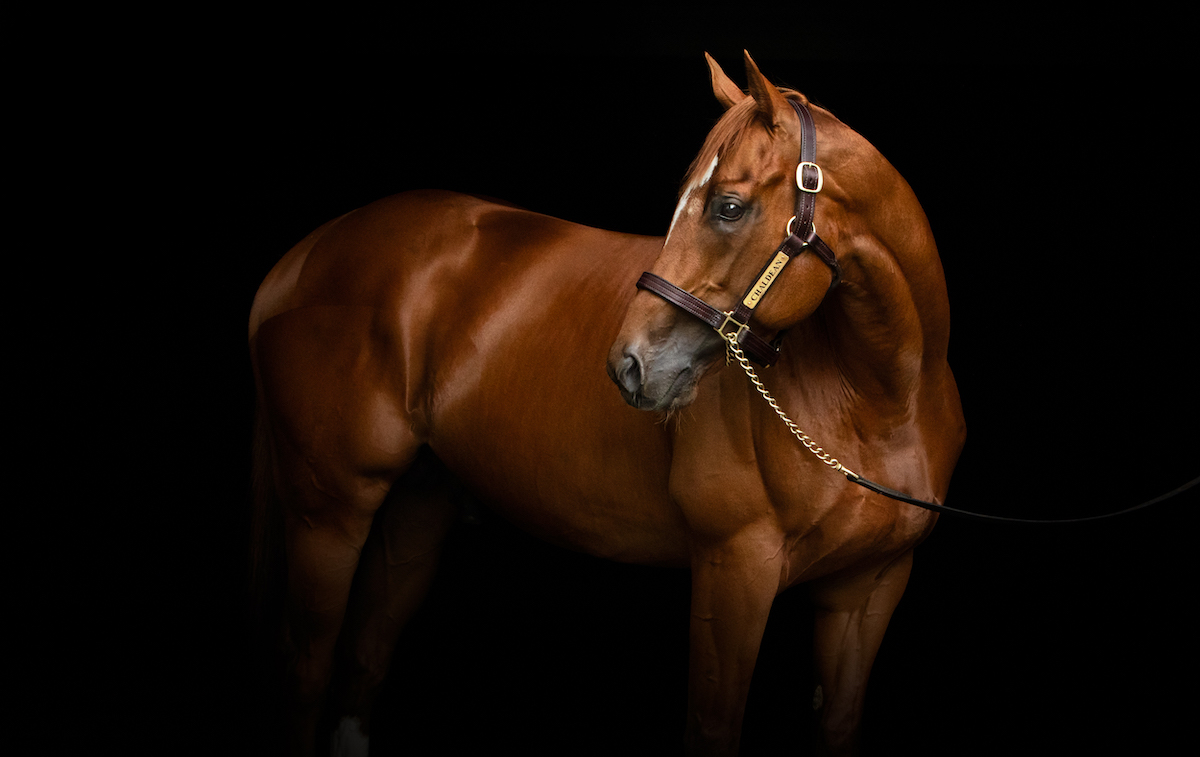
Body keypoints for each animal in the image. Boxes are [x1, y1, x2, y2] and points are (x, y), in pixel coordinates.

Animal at [248, 50, 960, 753]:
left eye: (728, 207)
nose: (629, 365)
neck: (880, 405)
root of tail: (304, 256)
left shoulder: (868, 590)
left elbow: (838, 721)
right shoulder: (734, 571)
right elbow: (712, 728)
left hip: (418, 505)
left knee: (364, 660)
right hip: (329, 511)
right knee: (308, 664)